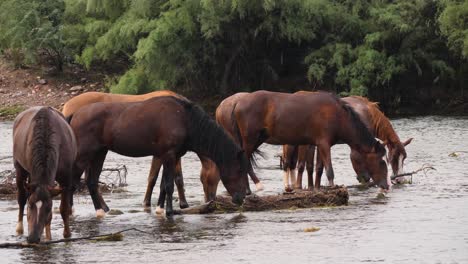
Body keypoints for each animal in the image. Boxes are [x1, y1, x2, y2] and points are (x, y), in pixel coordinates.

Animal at [12, 106, 76, 243]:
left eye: (48, 208)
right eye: (30, 206)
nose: (33, 238)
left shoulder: (66, 178)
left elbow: (64, 209)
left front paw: (65, 234)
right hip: (20, 169)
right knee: (21, 197)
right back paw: (19, 229)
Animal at [284, 95, 412, 190]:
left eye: (404, 158)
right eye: (393, 158)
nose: (400, 180)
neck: (369, 113)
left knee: (296, 164)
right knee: (291, 163)